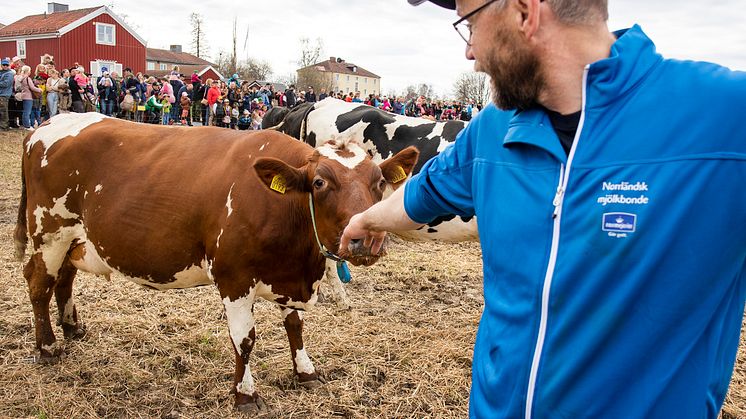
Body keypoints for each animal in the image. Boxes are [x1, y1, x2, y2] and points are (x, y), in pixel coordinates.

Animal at [13, 113, 418, 416]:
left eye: (379, 182)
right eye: (319, 182)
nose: (368, 239)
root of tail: (46, 125)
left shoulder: (289, 277)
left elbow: (295, 327)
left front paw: (306, 372)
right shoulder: (234, 278)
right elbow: (245, 339)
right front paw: (245, 394)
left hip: (74, 238)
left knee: (64, 278)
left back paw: (72, 326)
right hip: (49, 232)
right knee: (39, 283)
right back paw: (47, 347)